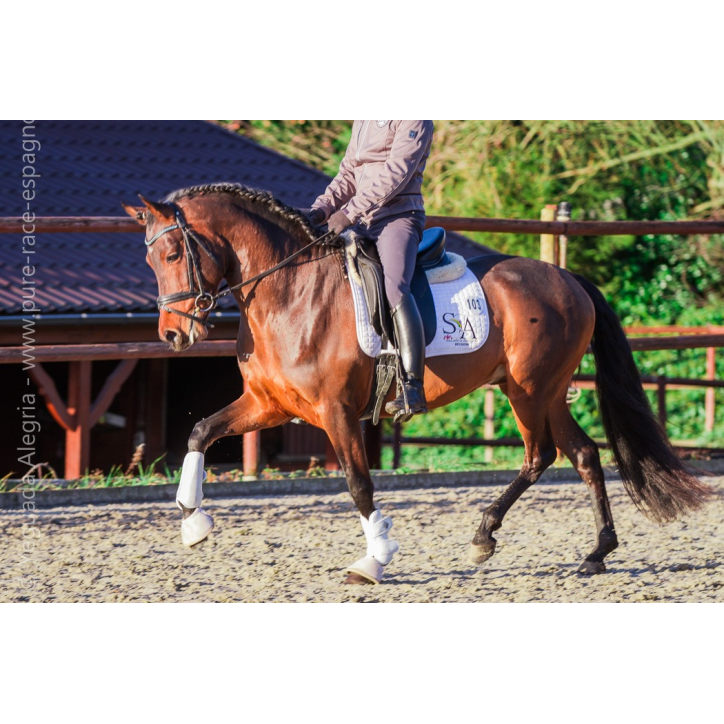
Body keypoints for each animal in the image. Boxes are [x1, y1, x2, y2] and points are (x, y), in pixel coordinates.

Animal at [122, 182, 712, 585]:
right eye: (149, 258)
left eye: (172, 254)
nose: (173, 334)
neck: (290, 293)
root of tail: (567, 278)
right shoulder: (270, 404)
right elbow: (200, 431)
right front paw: (193, 522)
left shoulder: (336, 413)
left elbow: (359, 485)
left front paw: (375, 559)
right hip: (540, 390)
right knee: (583, 454)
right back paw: (592, 552)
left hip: (530, 389)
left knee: (541, 454)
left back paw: (491, 536)